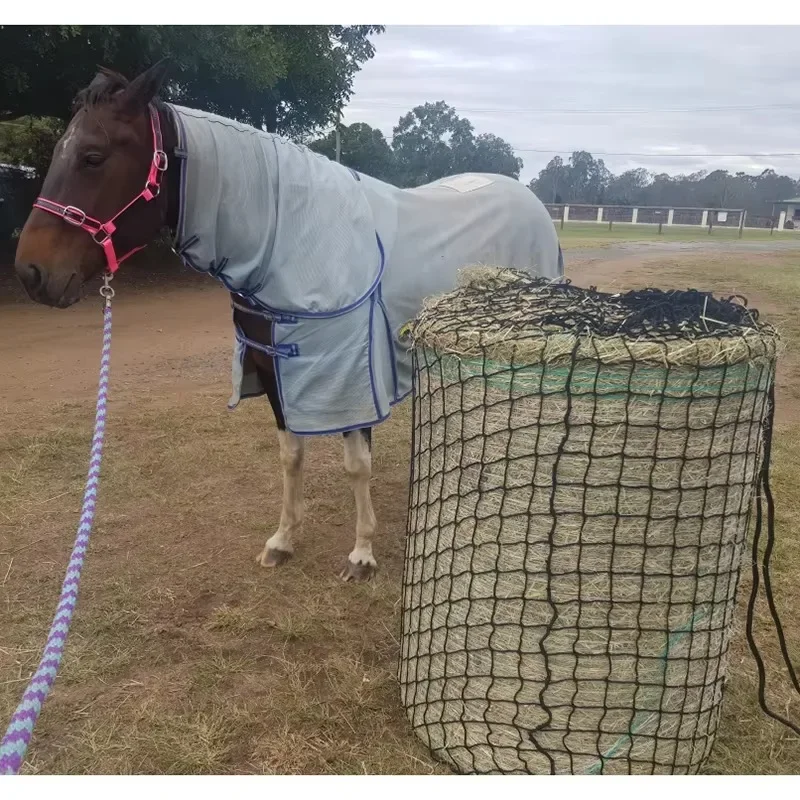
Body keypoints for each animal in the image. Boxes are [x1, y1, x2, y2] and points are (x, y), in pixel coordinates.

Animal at [14, 60, 564, 583]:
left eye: (93, 156)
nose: (31, 273)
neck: (292, 239)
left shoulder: (350, 378)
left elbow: (355, 465)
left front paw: (361, 554)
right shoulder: (275, 369)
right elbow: (291, 456)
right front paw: (282, 541)